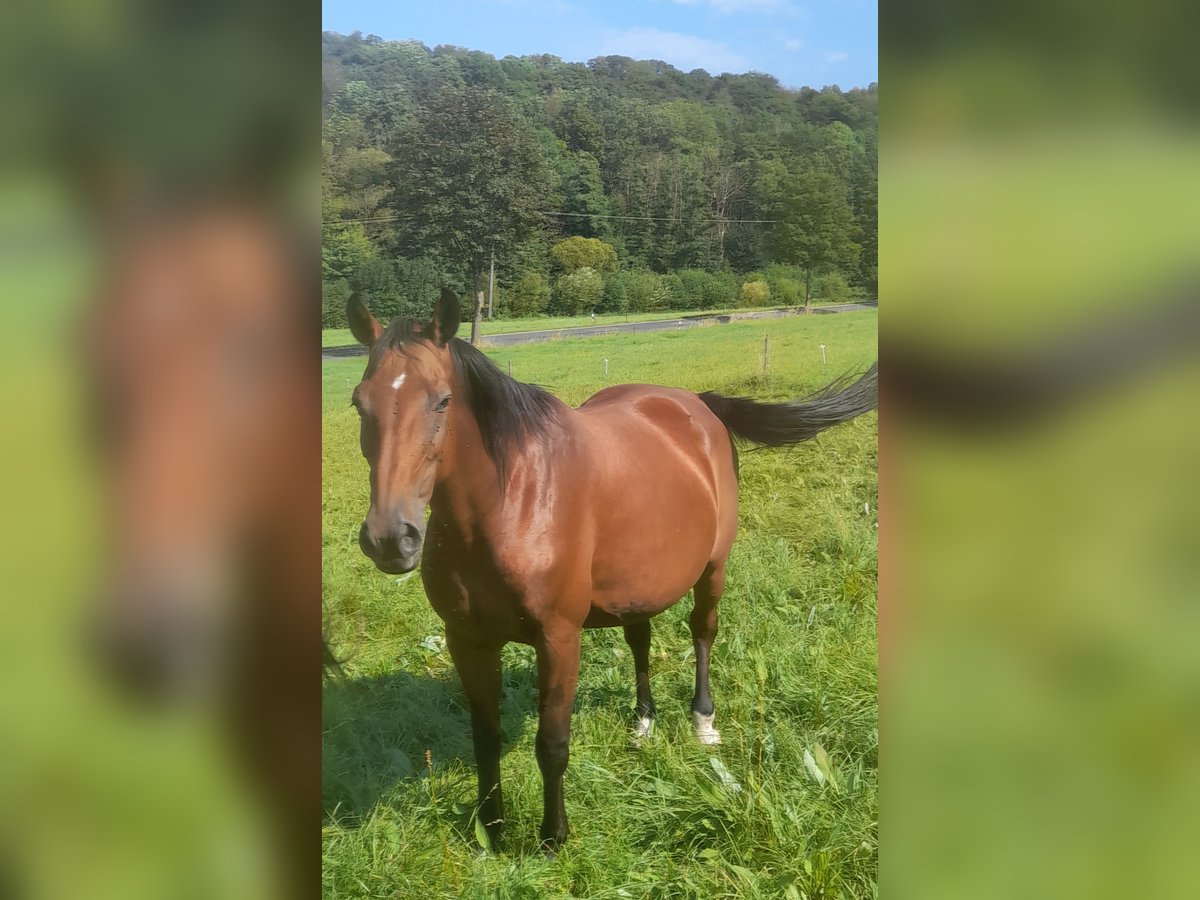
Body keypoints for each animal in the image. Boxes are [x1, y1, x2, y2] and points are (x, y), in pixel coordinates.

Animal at [343, 289, 878, 854]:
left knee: (703, 632)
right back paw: (643, 721)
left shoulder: (559, 638)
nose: (390, 538)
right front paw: (492, 830)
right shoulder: (467, 639)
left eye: (442, 401)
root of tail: (696, 404)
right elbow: (484, 740)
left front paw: (553, 837)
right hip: (636, 585)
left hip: (713, 569)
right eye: (359, 403)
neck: (511, 503)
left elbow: (552, 744)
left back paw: (702, 721)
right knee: (640, 641)